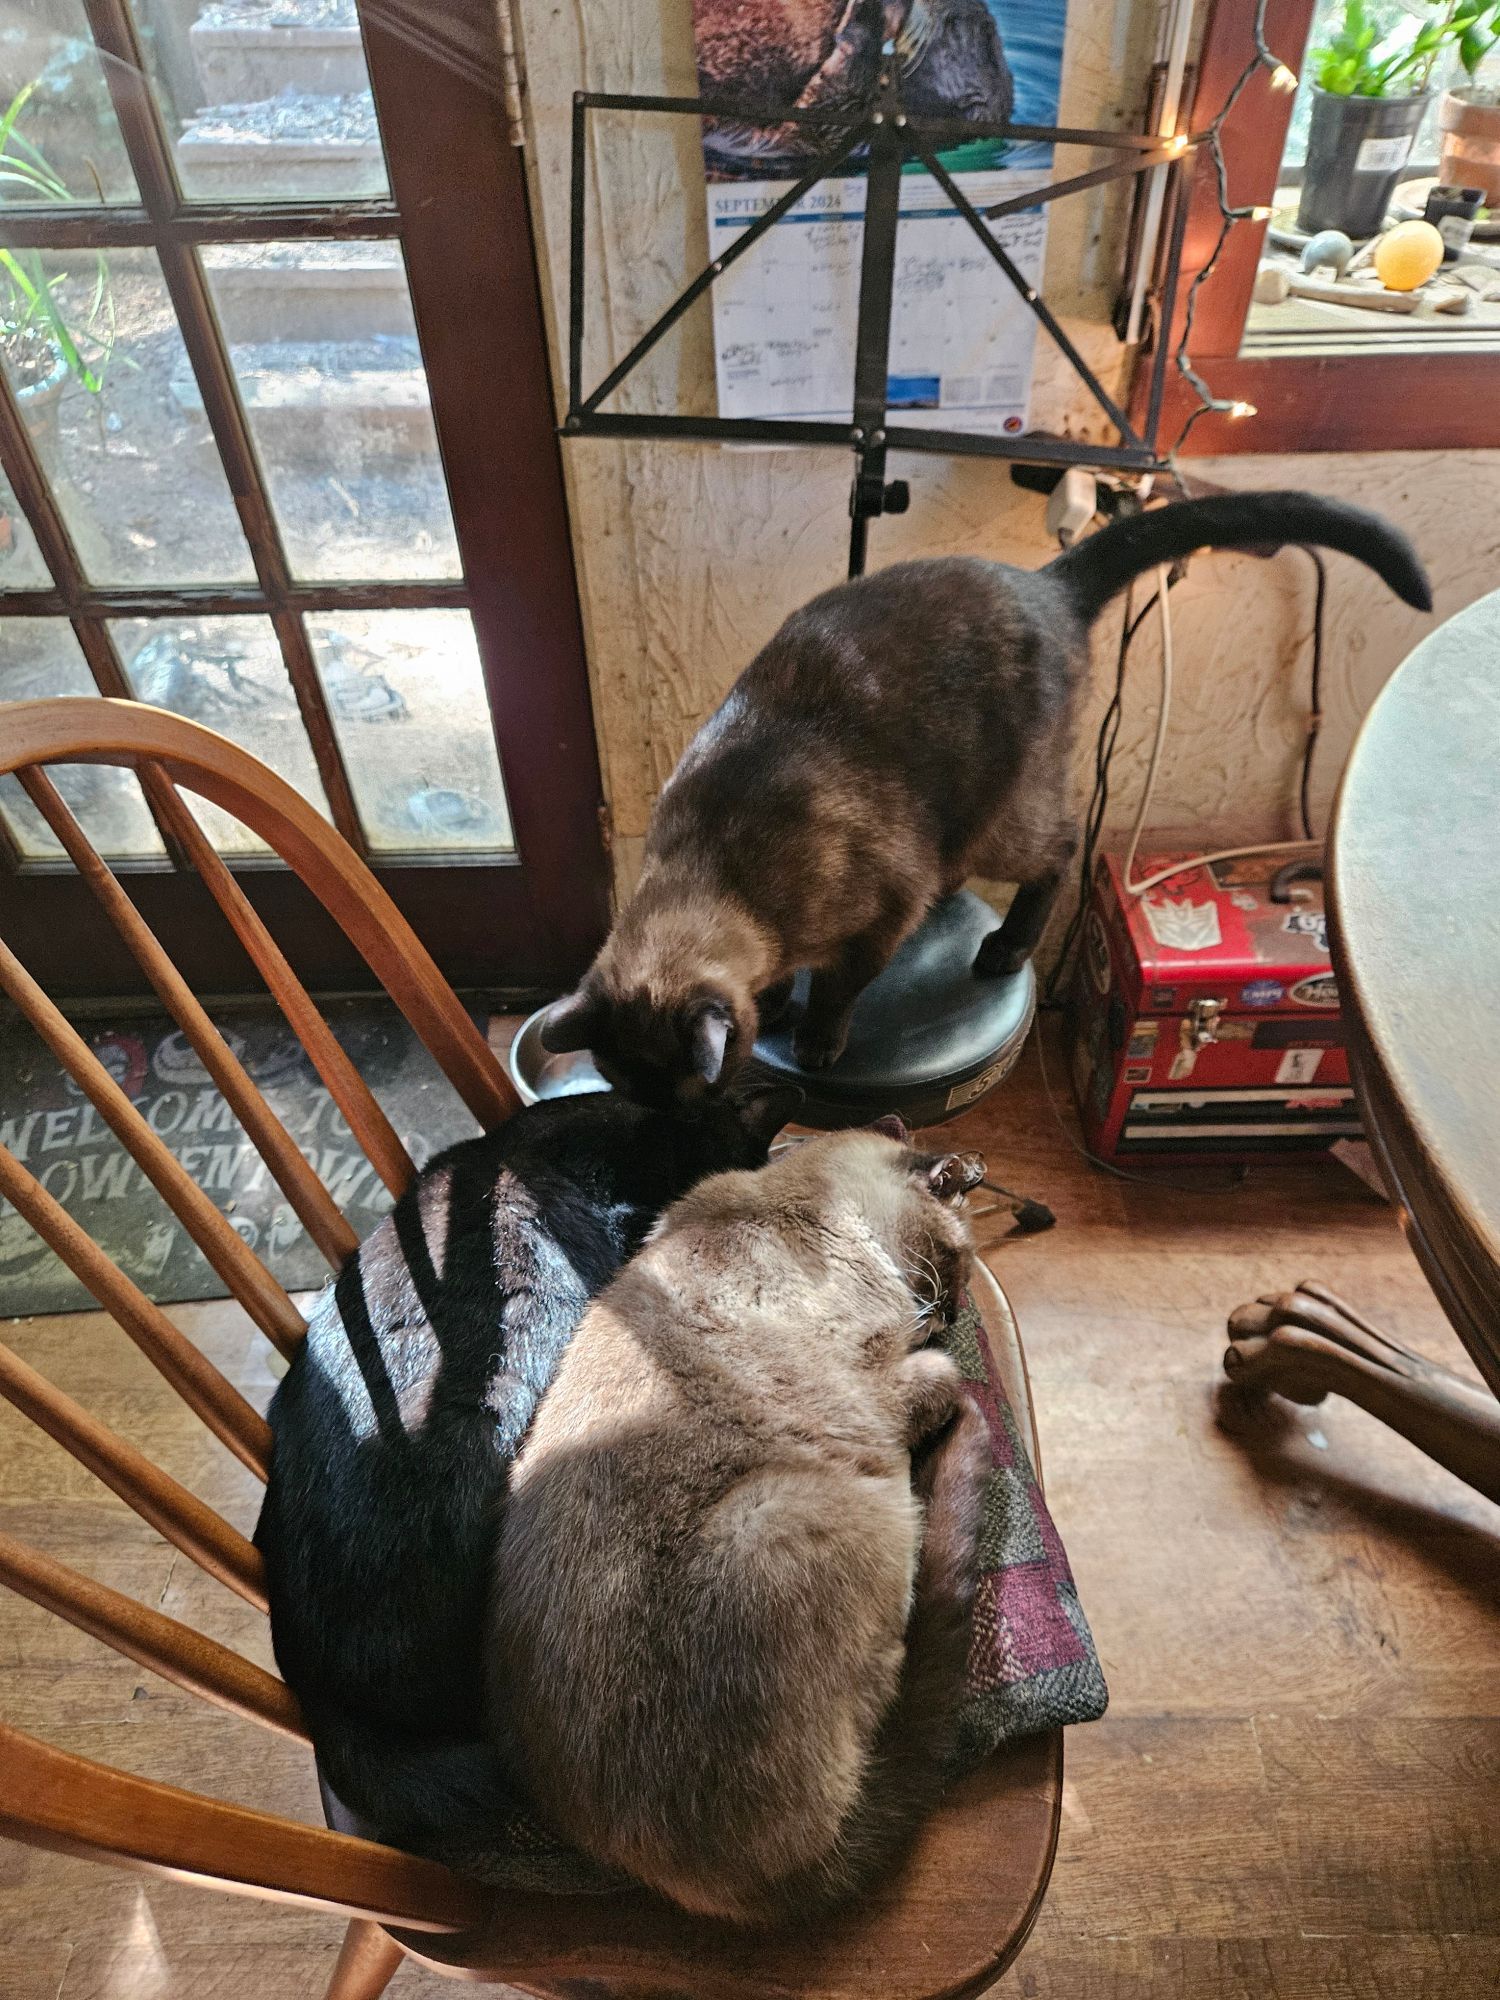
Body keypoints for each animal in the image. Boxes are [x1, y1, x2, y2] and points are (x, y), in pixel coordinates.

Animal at [544, 490, 1432, 1104]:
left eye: (698, 1088)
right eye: (629, 1091)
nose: (673, 1128)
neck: (720, 867)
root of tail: (1043, 580)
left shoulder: (876, 921)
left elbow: (837, 989)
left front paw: (816, 1039)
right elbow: (782, 985)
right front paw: (783, 1008)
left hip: (1001, 821)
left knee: (1063, 849)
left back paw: (1004, 948)